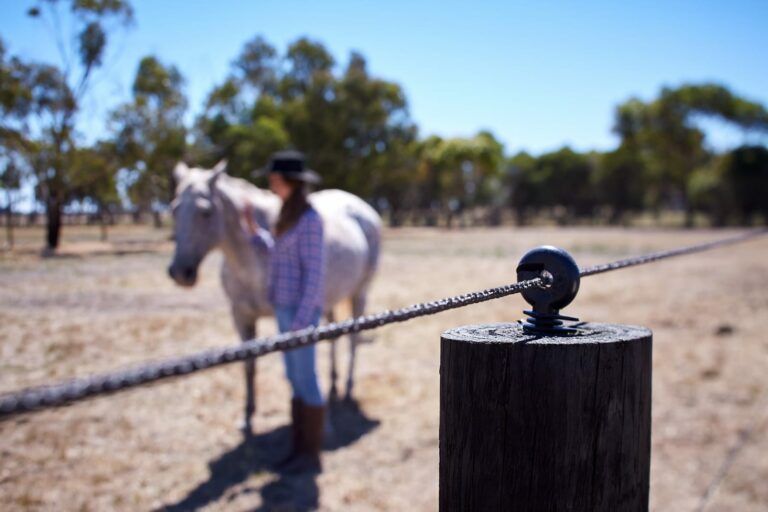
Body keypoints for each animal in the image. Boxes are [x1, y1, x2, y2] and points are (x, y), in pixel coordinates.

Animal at [167, 160, 381, 433]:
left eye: (205, 211)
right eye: (174, 210)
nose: (180, 272)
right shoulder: (241, 315)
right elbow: (250, 365)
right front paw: (247, 416)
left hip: (359, 292)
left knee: (353, 339)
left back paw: (347, 389)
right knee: (334, 337)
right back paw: (333, 387)